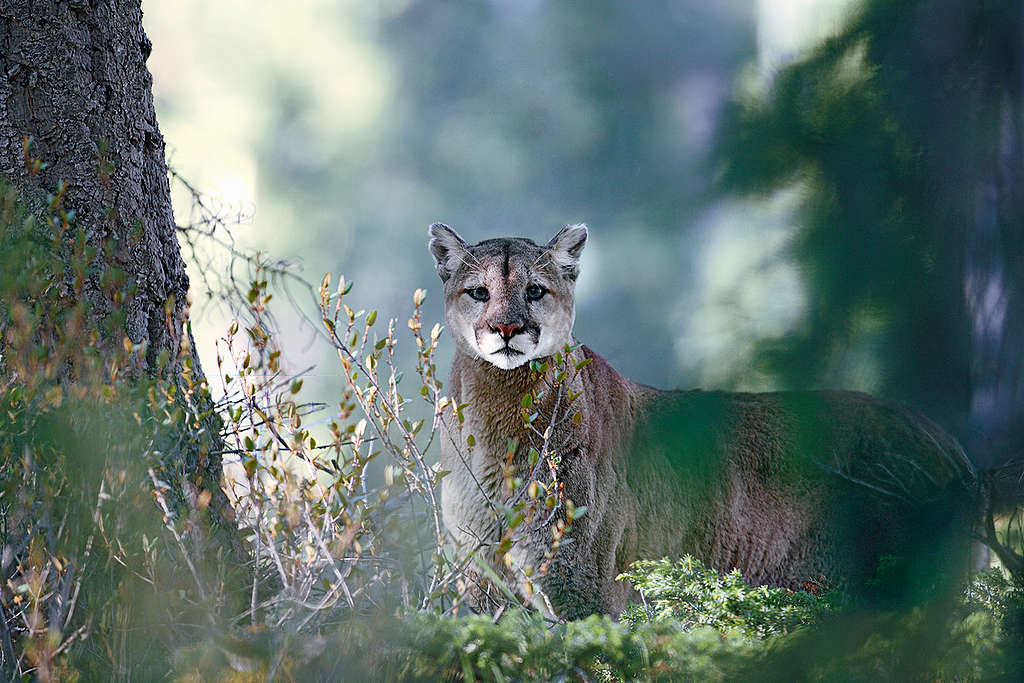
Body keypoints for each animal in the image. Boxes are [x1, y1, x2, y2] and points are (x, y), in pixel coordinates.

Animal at [428, 223, 978, 618]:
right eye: (479, 293)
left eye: (536, 291)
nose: (506, 328)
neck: (500, 413)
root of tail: (950, 444)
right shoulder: (479, 581)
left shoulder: (580, 585)